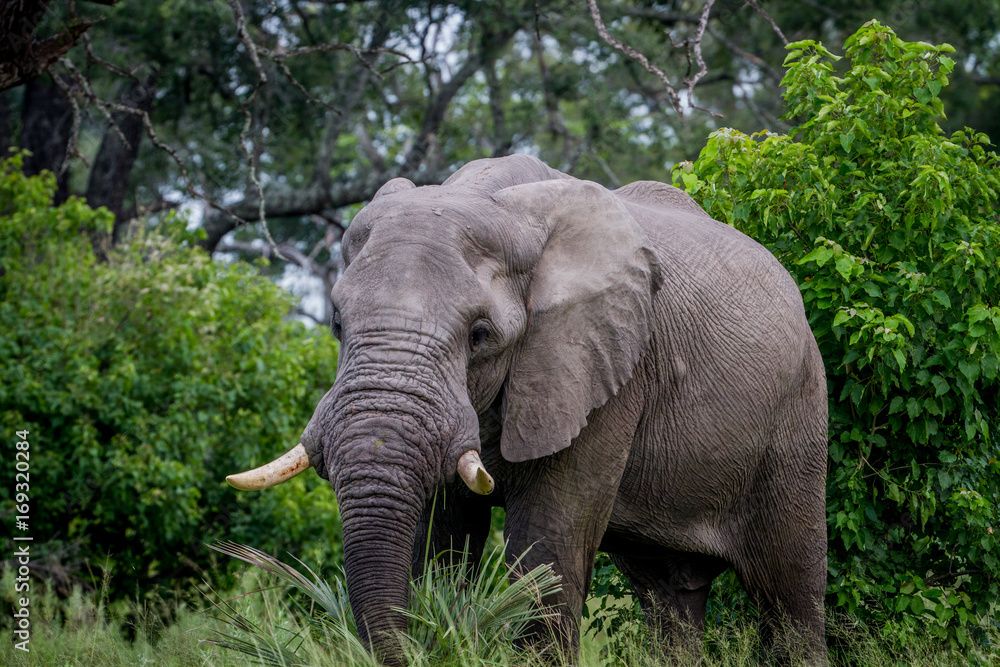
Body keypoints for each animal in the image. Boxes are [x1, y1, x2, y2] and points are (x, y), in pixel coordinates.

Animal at [227, 154, 829, 665]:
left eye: (480, 334)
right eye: (335, 323)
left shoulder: (603, 368)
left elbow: (548, 547)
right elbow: (440, 535)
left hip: (799, 415)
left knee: (790, 594)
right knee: (669, 595)